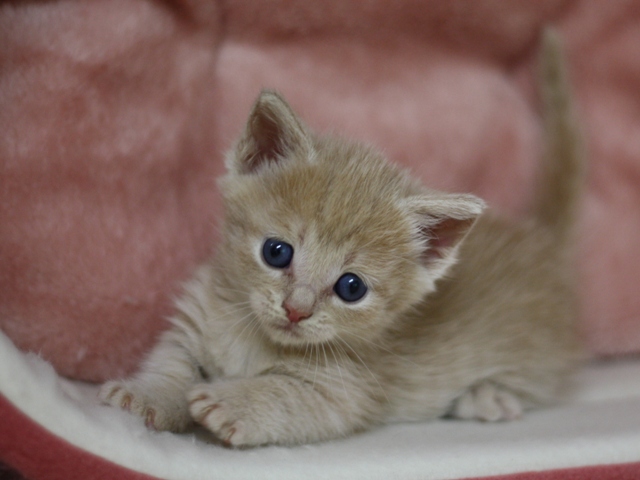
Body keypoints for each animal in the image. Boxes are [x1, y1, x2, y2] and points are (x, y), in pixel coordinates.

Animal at [100, 31, 584, 446]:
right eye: (276, 252)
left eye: (351, 287)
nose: (296, 310)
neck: (257, 339)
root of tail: (539, 237)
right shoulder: (193, 320)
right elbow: (172, 361)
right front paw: (146, 395)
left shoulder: (342, 391)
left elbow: (284, 394)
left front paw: (233, 401)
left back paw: (486, 396)